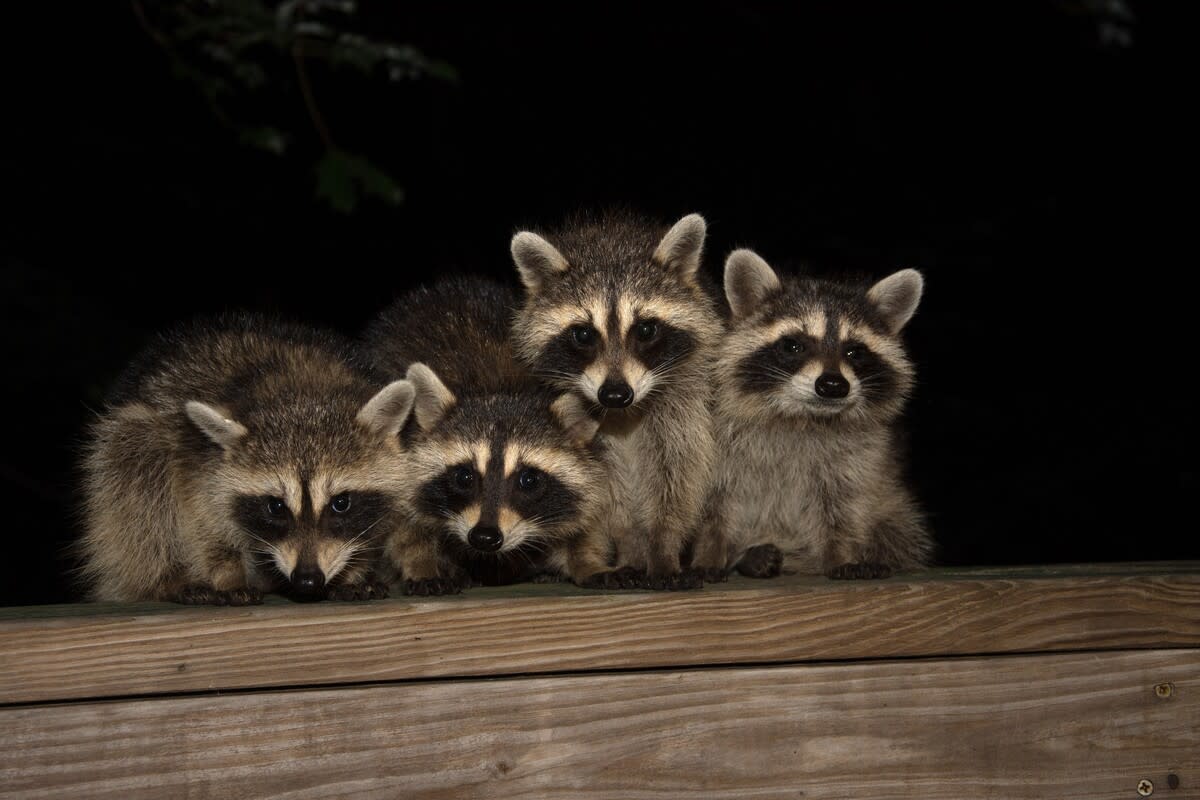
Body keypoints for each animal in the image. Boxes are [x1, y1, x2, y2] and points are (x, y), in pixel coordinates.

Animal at [78, 314, 415, 604]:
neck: (301, 391)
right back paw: (165, 578)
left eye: (341, 503)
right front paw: (227, 573)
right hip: (133, 437)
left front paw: (353, 572)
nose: (307, 579)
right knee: (138, 479)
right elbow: (205, 525)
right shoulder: (198, 461)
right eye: (275, 506)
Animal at [364, 276, 620, 594]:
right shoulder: (400, 457)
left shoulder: (592, 463)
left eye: (529, 480)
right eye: (464, 476)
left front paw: (588, 560)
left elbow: (588, 516)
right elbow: (404, 527)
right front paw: (421, 565)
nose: (484, 537)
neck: (500, 388)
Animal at [508, 211, 724, 588]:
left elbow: (677, 477)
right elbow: (606, 494)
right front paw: (631, 548)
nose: (615, 394)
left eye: (646, 330)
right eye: (582, 334)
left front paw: (663, 545)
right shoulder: (593, 430)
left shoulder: (682, 406)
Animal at [693, 250, 932, 580]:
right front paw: (709, 553)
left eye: (854, 351)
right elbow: (712, 506)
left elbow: (844, 507)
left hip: (895, 510)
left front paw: (842, 555)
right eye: (793, 345)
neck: (801, 417)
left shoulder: (858, 458)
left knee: (897, 531)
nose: (833, 386)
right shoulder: (717, 444)